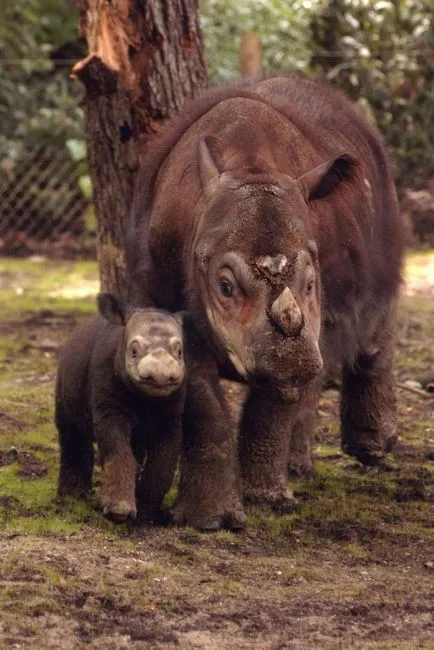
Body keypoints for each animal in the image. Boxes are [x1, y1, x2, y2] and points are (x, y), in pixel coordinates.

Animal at [55, 294, 185, 520]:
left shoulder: (171, 411)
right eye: (133, 351)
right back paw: (72, 498)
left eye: (179, 352)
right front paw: (119, 511)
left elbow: (163, 459)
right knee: (72, 433)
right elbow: (117, 447)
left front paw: (146, 513)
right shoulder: (108, 401)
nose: (160, 375)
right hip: (64, 376)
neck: (145, 397)